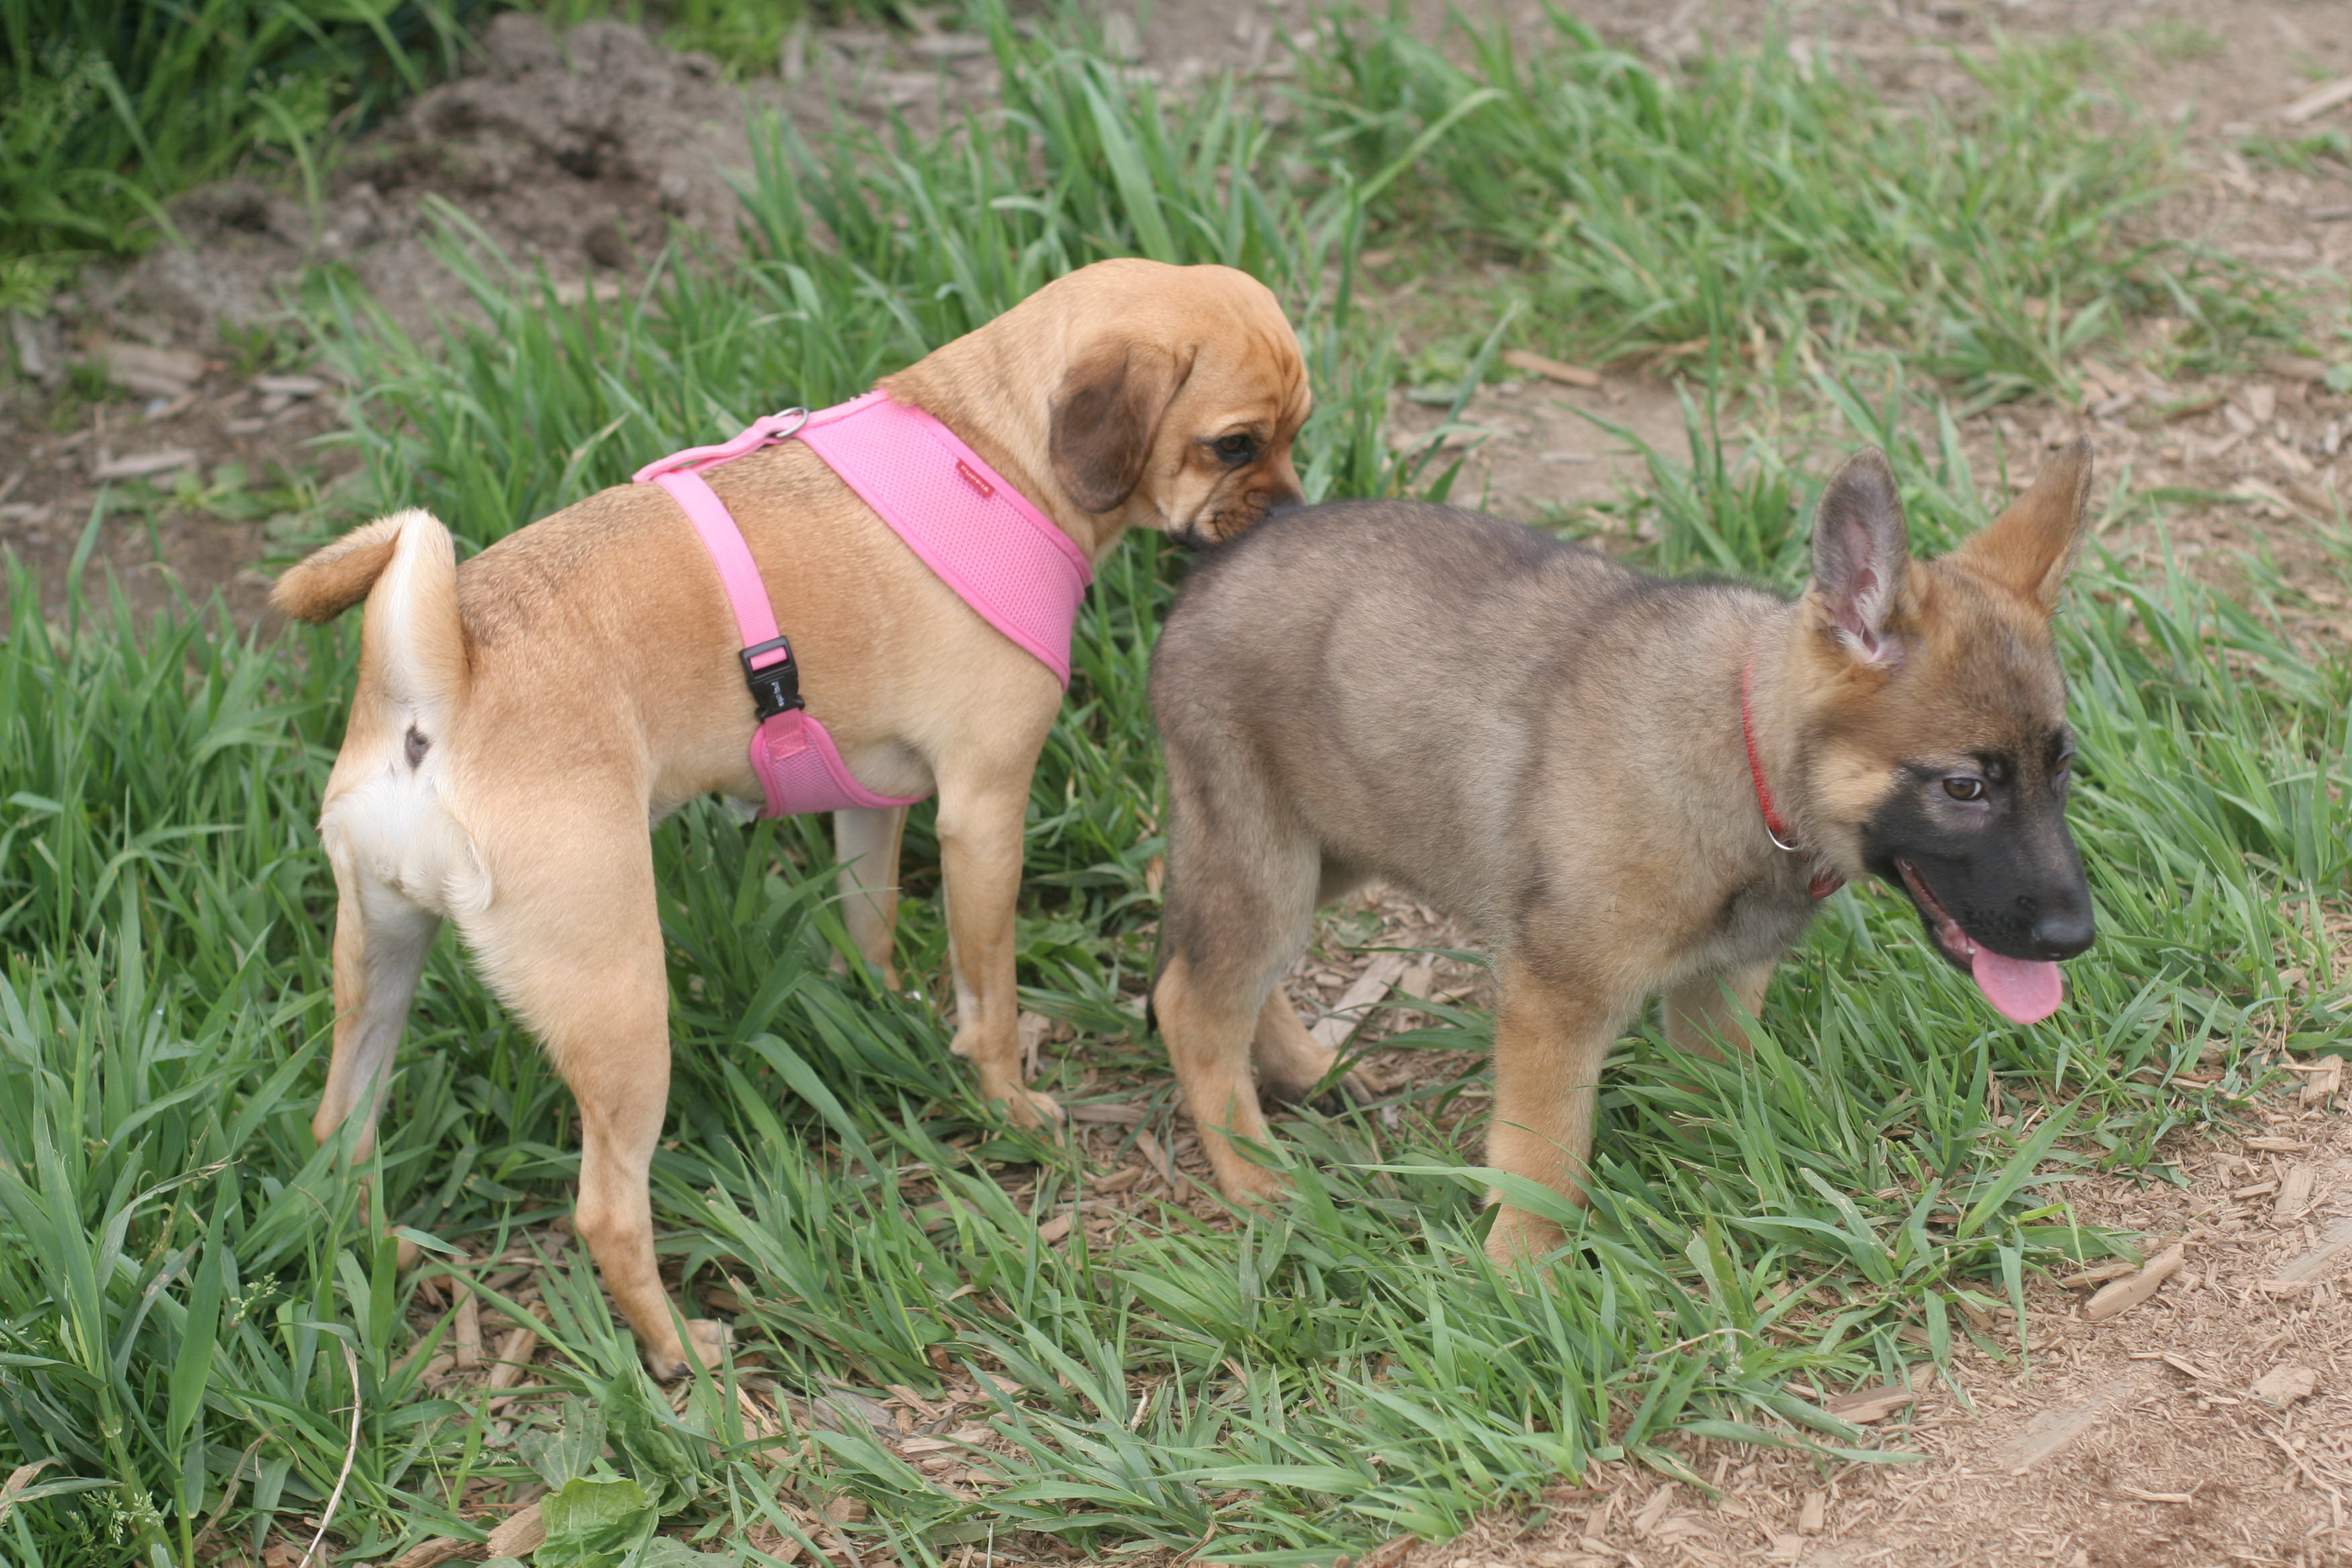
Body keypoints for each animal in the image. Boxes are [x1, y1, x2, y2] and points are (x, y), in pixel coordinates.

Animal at [273, 258, 1311, 1375]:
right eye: (1236, 444)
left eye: (1293, 434)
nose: (1292, 513)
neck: (995, 450)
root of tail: (440, 685)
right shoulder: (985, 815)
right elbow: (988, 994)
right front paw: (1011, 1107)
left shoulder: (874, 809)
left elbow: (871, 929)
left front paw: (886, 1010)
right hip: (619, 1005)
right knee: (607, 1213)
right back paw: (683, 1353)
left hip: (380, 963)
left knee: (341, 1128)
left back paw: (384, 1252)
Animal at [1149, 442, 2097, 1260]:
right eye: (1964, 788)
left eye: (2062, 768)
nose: (2075, 939)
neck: (1743, 760)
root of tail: (1228, 555)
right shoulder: (1556, 1000)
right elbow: (1544, 1162)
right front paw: (1521, 1284)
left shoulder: (1720, 987)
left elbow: (1713, 1101)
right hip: (1268, 855)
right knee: (1192, 1001)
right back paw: (1255, 1174)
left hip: (1334, 846)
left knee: (1206, 967)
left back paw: (1306, 1069)